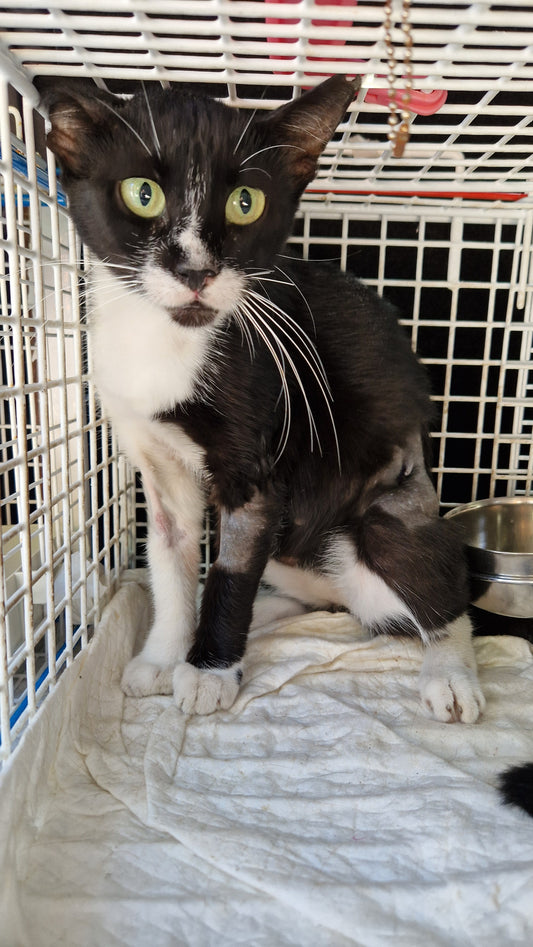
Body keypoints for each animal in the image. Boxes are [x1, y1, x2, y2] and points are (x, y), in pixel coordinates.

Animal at [43, 75, 486, 727]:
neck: (167, 342)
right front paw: (166, 654)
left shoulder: (257, 463)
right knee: (324, 599)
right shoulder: (156, 460)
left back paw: (450, 674)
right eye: (142, 194)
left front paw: (208, 672)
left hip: (392, 506)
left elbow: (232, 569)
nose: (195, 272)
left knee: (436, 594)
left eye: (244, 203)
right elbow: (171, 552)